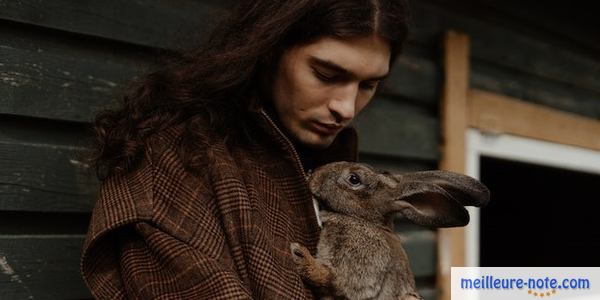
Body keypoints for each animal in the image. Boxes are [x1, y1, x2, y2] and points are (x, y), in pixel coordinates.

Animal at [288, 162, 490, 300]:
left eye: (354, 179)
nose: (314, 174)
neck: (365, 220)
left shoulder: (360, 267)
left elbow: (331, 278)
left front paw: (299, 256)